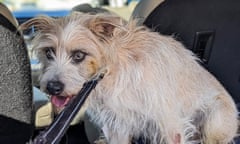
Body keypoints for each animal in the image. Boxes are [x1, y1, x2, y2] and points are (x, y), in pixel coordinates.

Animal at [20, 12, 238, 144]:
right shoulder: (117, 125)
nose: (52, 87)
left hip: (214, 120)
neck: (113, 70)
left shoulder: (170, 125)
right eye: (49, 53)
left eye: (79, 55)